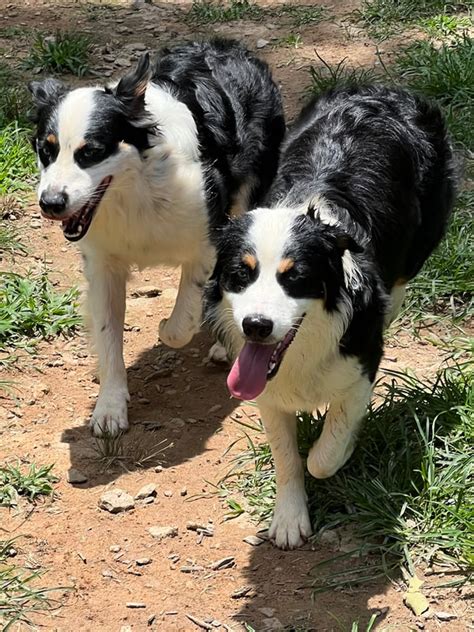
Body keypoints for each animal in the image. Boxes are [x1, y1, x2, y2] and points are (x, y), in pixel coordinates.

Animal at [30, 38, 286, 434]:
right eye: (46, 150)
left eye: (91, 152)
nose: (51, 203)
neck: (134, 190)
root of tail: (229, 46)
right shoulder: (103, 265)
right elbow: (107, 332)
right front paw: (110, 405)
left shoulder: (207, 243)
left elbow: (180, 324)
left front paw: (173, 326)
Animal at [206, 86, 458, 552]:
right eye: (240, 274)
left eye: (295, 277)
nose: (256, 326)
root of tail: (383, 92)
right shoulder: (267, 392)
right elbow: (287, 457)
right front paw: (289, 517)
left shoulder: (361, 368)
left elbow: (323, 455)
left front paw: (343, 449)